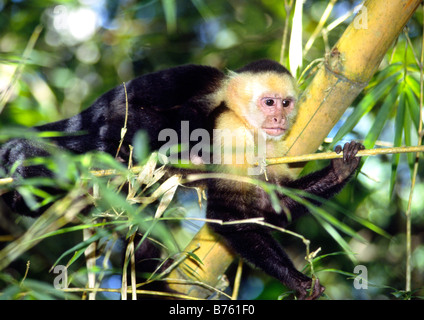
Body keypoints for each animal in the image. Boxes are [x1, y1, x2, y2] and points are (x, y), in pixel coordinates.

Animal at [0, 59, 364, 300]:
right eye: (269, 102)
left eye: (286, 104)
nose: (278, 119)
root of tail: (92, 111)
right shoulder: (231, 130)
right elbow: (228, 215)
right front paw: (296, 280)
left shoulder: (278, 146)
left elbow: (273, 206)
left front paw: (340, 170)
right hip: (116, 126)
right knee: (162, 126)